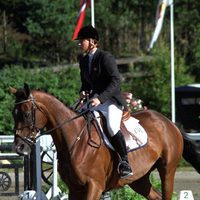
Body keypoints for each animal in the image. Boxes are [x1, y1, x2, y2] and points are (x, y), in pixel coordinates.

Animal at [10, 83, 184, 199]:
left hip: (167, 170)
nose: (19, 148)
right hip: (138, 179)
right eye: (13, 114)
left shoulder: (94, 185)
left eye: (26, 114)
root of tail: (168, 122)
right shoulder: (74, 188)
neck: (76, 141)